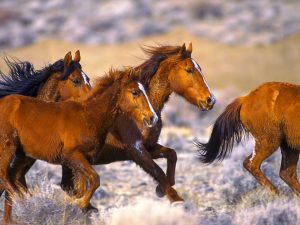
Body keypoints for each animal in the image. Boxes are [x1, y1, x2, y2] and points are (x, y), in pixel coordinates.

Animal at [61, 43, 216, 201]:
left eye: (200, 68)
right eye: (189, 70)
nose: (210, 100)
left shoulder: (149, 146)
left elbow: (172, 155)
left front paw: (160, 189)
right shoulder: (135, 149)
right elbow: (159, 172)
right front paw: (175, 199)